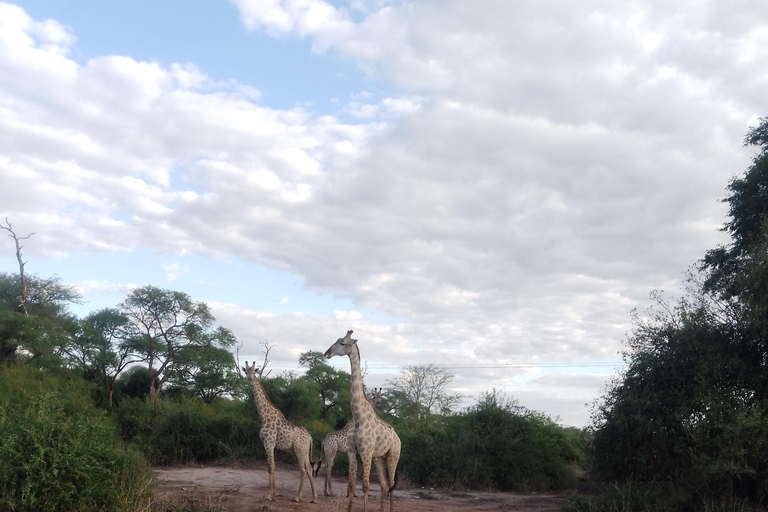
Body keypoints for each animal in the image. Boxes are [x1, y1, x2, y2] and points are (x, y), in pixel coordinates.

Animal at [244, 360, 320, 504]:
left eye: (254, 372)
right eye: (246, 371)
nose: (249, 379)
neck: (264, 416)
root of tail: (310, 437)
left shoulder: (268, 442)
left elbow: (271, 467)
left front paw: (270, 495)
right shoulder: (269, 444)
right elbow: (272, 467)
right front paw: (273, 494)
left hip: (298, 450)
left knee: (303, 470)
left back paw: (298, 497)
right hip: (305, 450)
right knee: (309, 469)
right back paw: (314, 498)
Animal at [322, 330, 402, 510]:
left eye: (343, 343)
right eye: (337, 340)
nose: (327, 353)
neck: (358, 417)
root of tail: (398, 438)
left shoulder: (366, 452)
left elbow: (365, 486)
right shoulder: (353, 452)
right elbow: (352, 485)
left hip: (393, 455)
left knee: (392, 484)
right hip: (379, 458)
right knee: (384, 485)